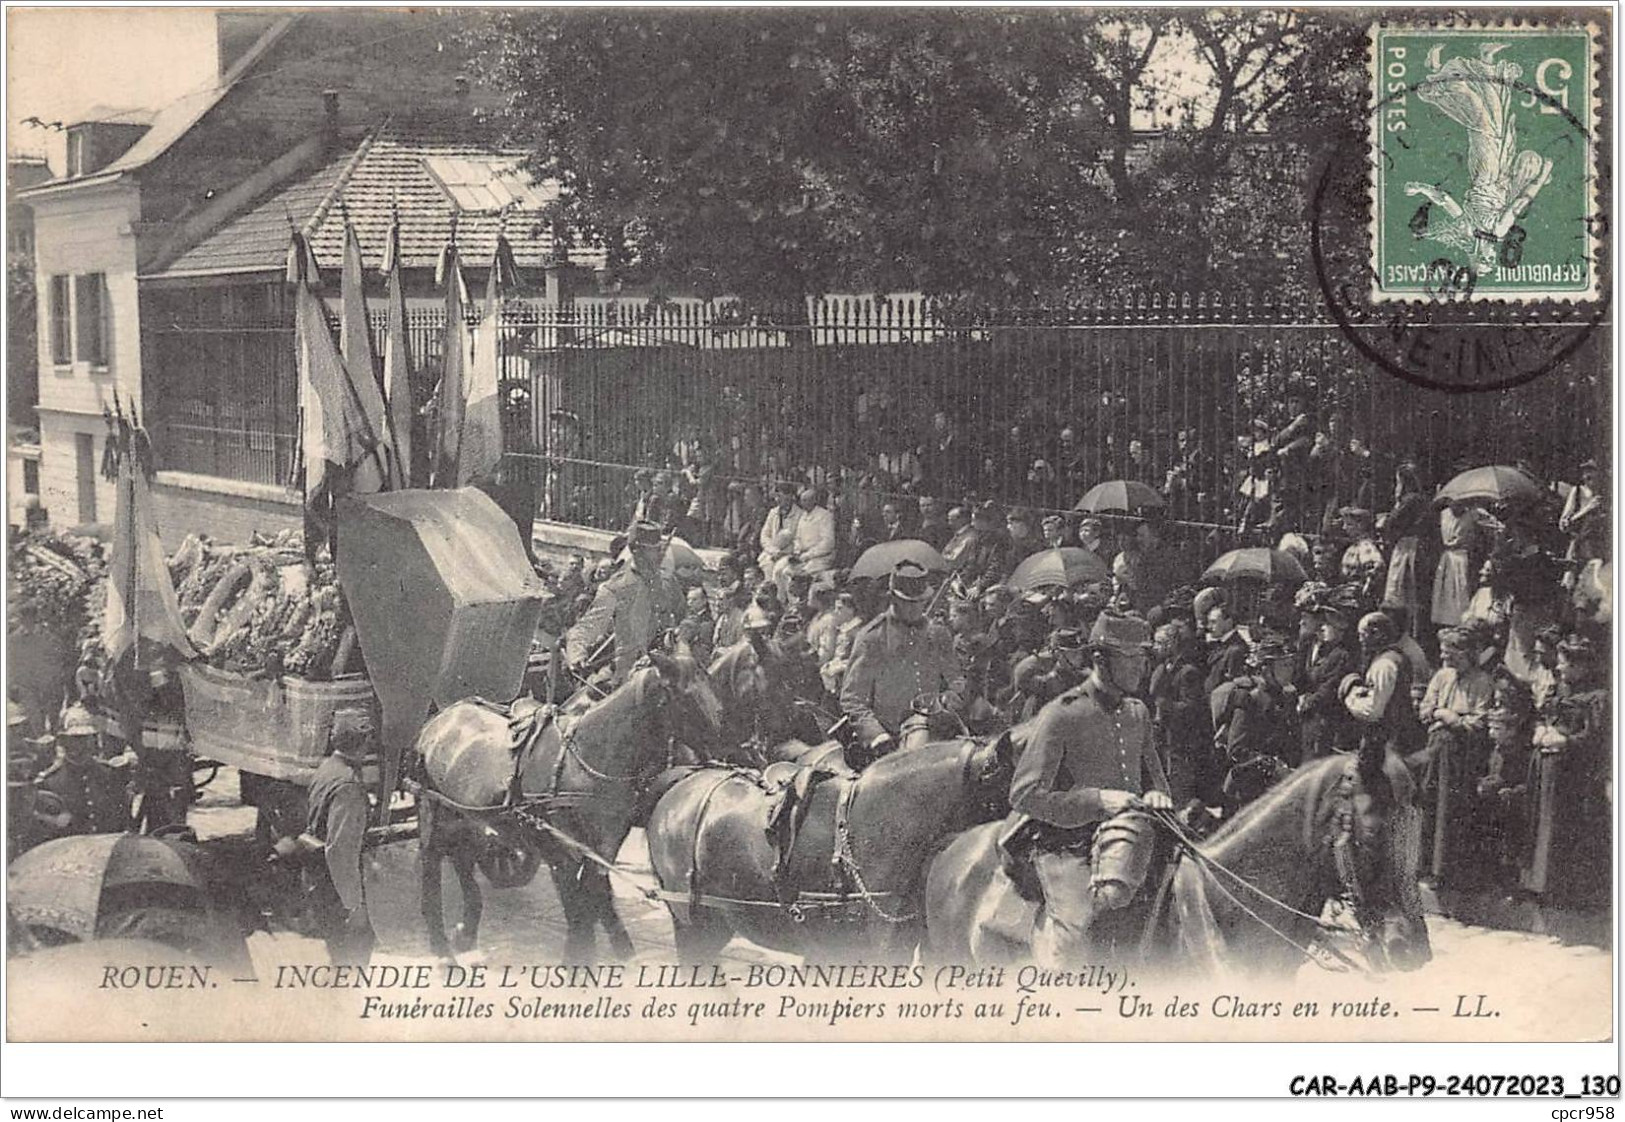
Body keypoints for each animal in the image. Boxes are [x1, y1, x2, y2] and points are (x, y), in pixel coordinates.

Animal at [416, 643, 721, 956]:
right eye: (684, 697)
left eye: (711, 684)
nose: (722, 742)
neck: (586, 757)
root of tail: (442, 717)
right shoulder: (559, 851)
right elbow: (577, 912)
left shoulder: (602, 849)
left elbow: (595, 900)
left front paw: (619, 951)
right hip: (432, 808)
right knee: (430, 860)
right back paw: (439, 943)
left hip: (465, 816)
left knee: (461, 855)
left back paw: (465, 931)